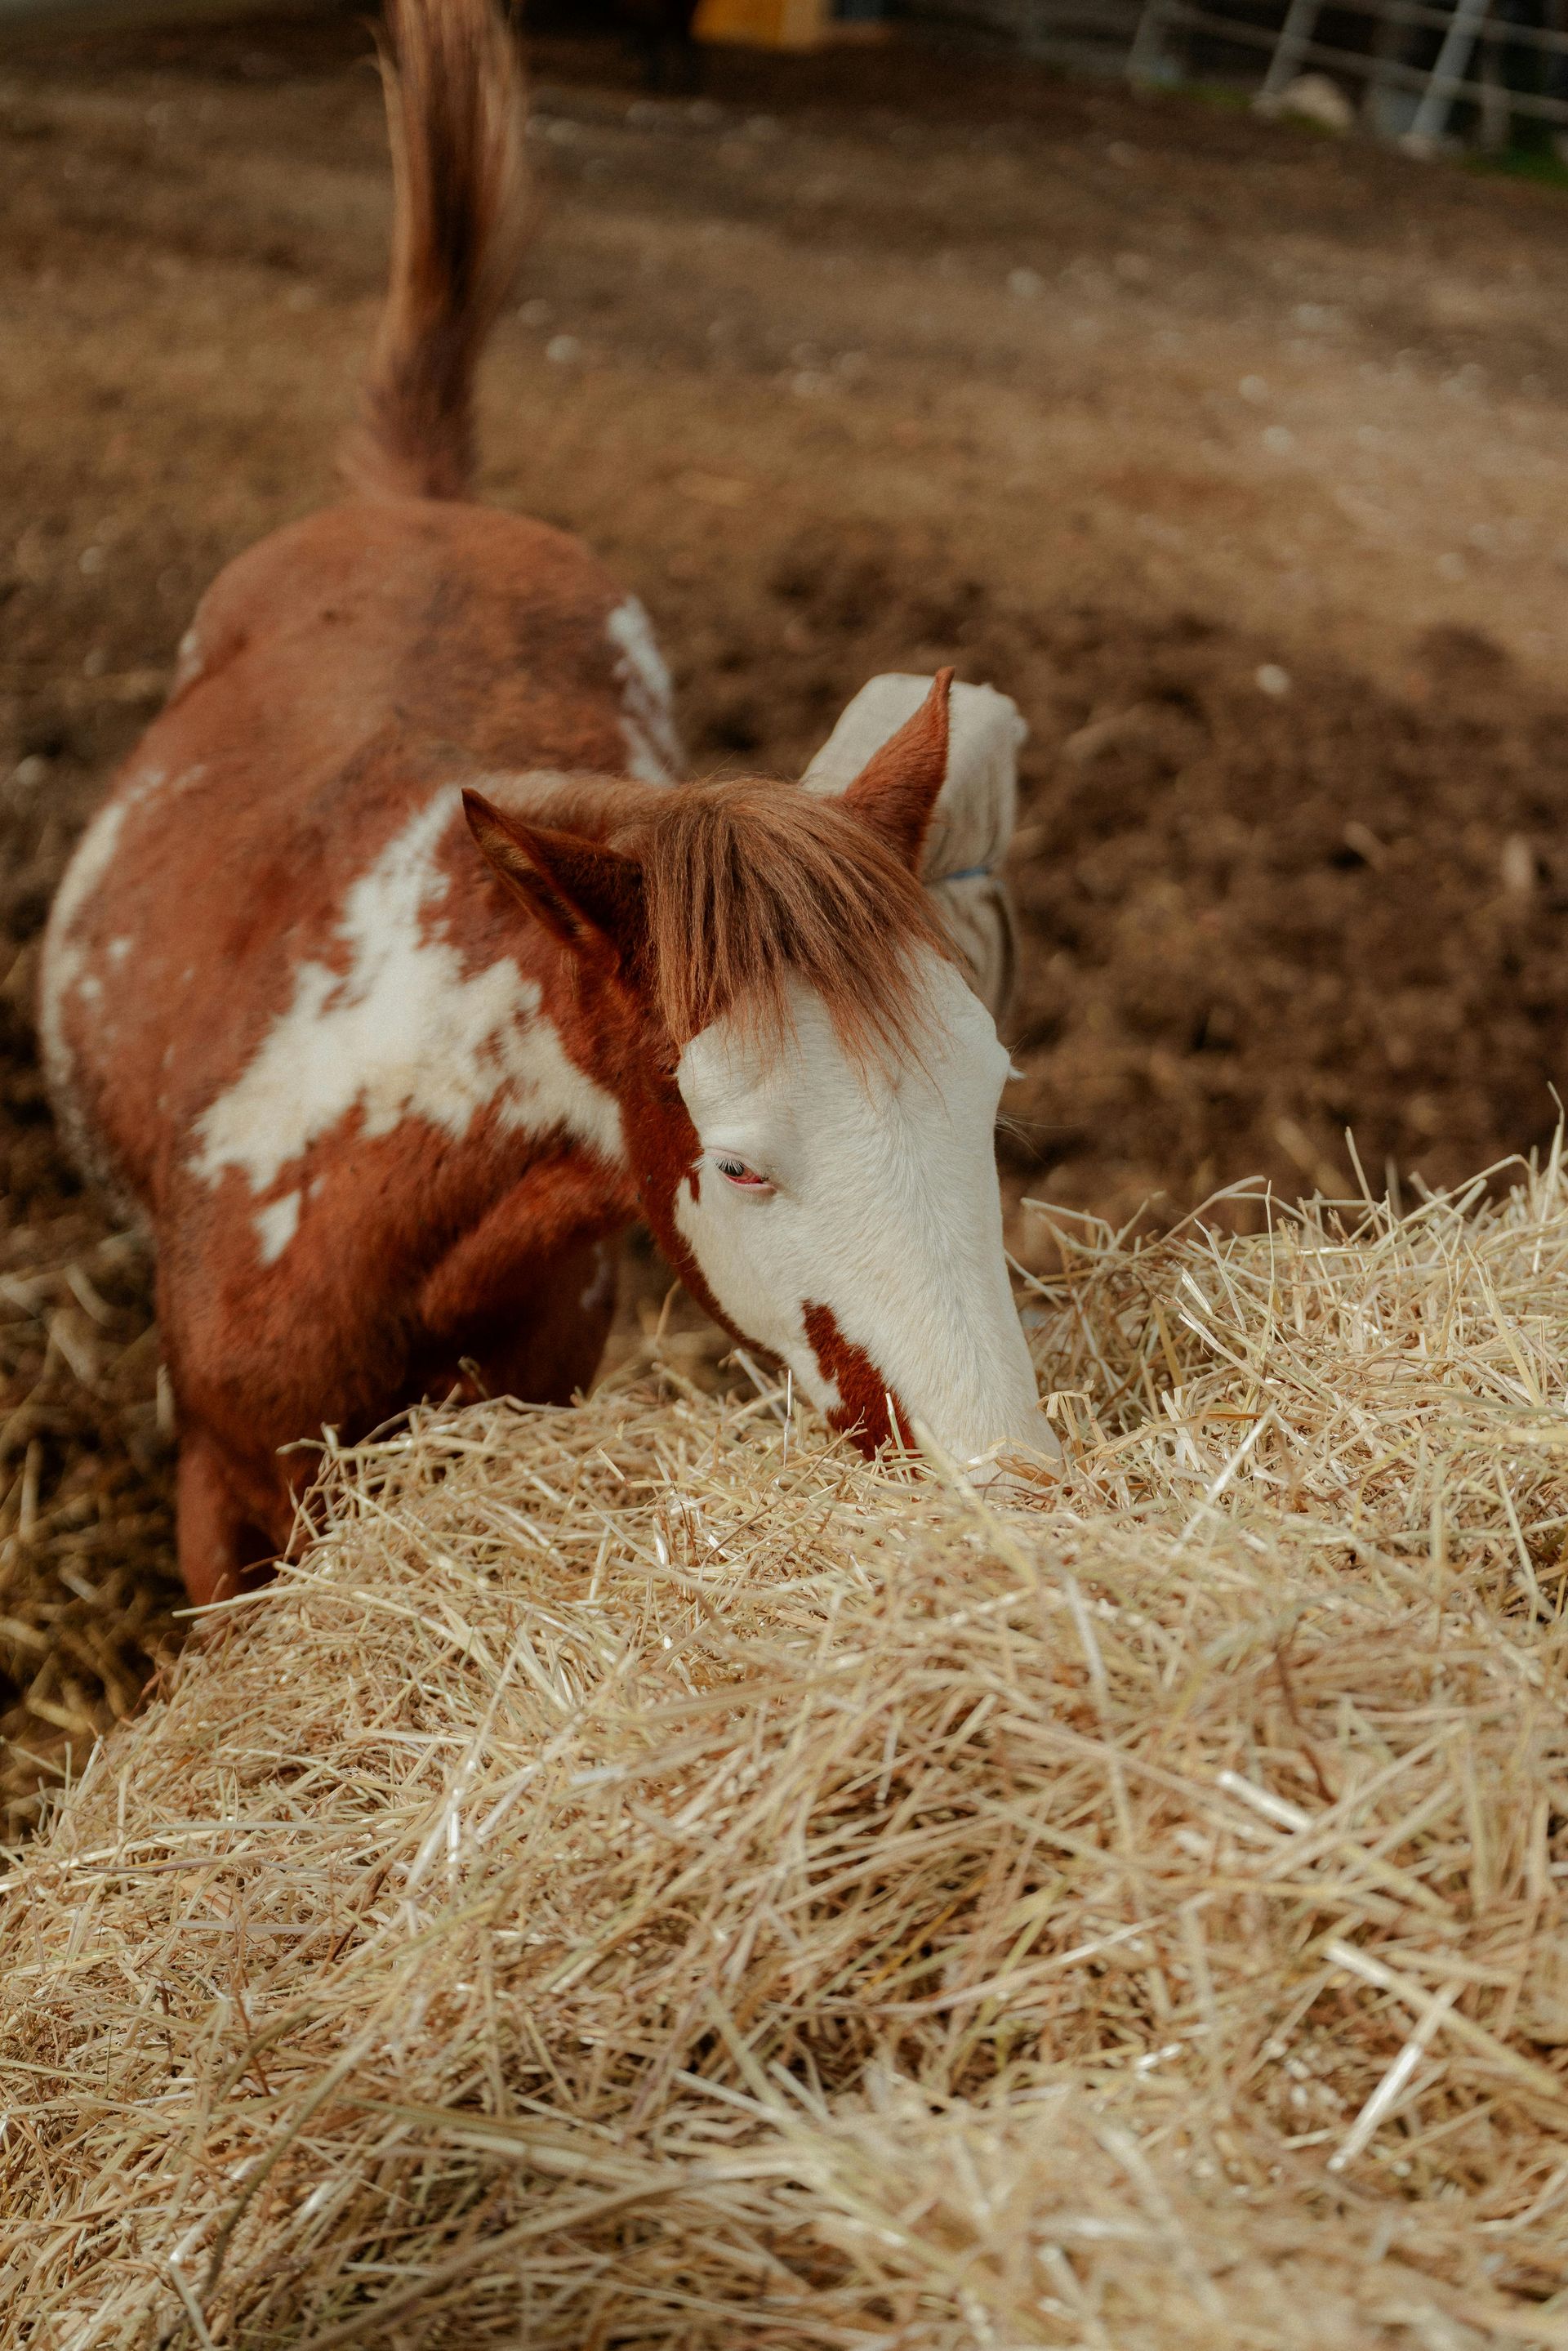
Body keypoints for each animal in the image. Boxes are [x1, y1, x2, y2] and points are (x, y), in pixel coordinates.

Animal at [39, 0, 1051, 1610]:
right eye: (741, 1161)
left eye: (990, 1093)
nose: (1012, 1488)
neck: (365, 1156)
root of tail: (423, 495)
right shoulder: (226, 1493)